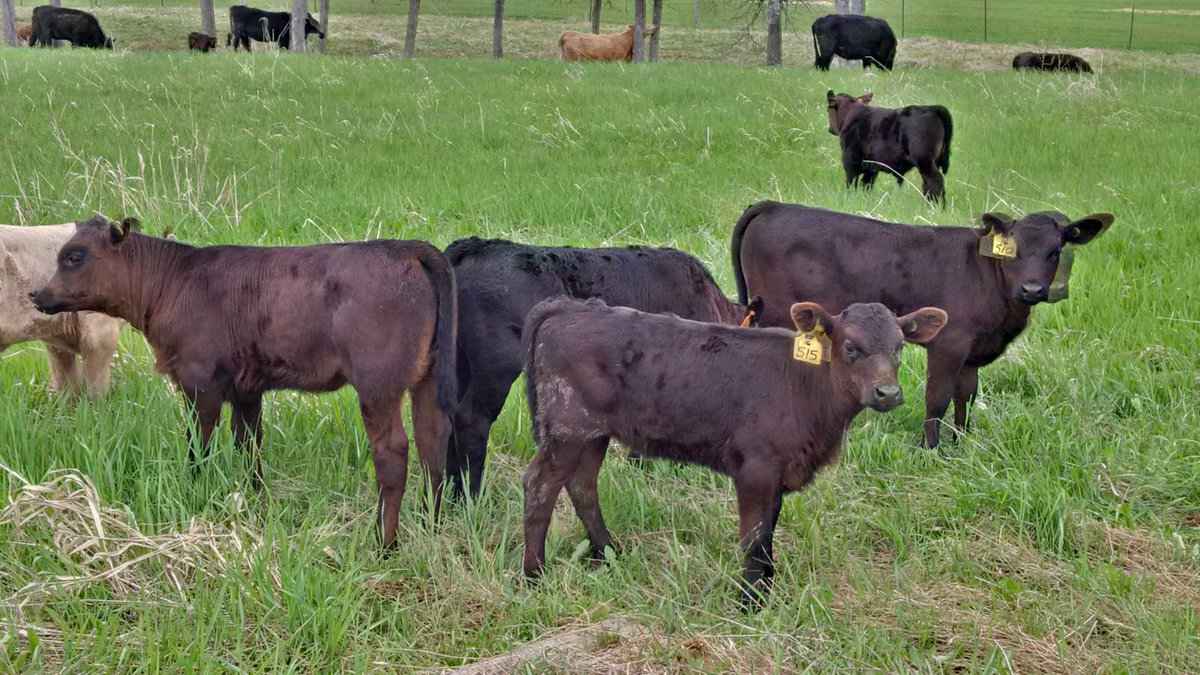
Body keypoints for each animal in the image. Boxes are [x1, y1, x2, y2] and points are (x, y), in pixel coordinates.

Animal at [30, 217, 457, 548]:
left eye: (75, 256)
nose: (36, 294)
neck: (174, 283)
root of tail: (407, 248)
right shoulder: (247, 388)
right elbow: (248, 443)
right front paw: (256, 499)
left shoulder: (199, 381)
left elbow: (198, 445)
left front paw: (194, 490)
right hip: (427, 378)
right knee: (432, 439)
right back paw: (432, 523)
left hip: (376, 384)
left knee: (393, 452)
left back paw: (384, 543)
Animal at [521, 297, 946, 605]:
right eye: (850, 346)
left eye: (900, 347)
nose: (888, 393)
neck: (805, 386)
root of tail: (567, 308)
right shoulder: (755, 468)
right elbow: (754, 537)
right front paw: (750, 602)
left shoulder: (779, 471)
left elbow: (769, 531)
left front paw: (768, 589)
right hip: (567, 427)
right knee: (539, 486)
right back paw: (534, 576)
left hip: (593, 433)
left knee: (582, 486)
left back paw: (609, 553)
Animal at [731, 201, 1115, 448]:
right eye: (1013, 251)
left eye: (1055, 251)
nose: (1032, 289)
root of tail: (775, 206)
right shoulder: (948, 343)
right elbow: (938, 398)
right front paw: (930, 448)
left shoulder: (971, 353)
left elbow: (966, 397)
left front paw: (962, 443)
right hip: (777, 312)